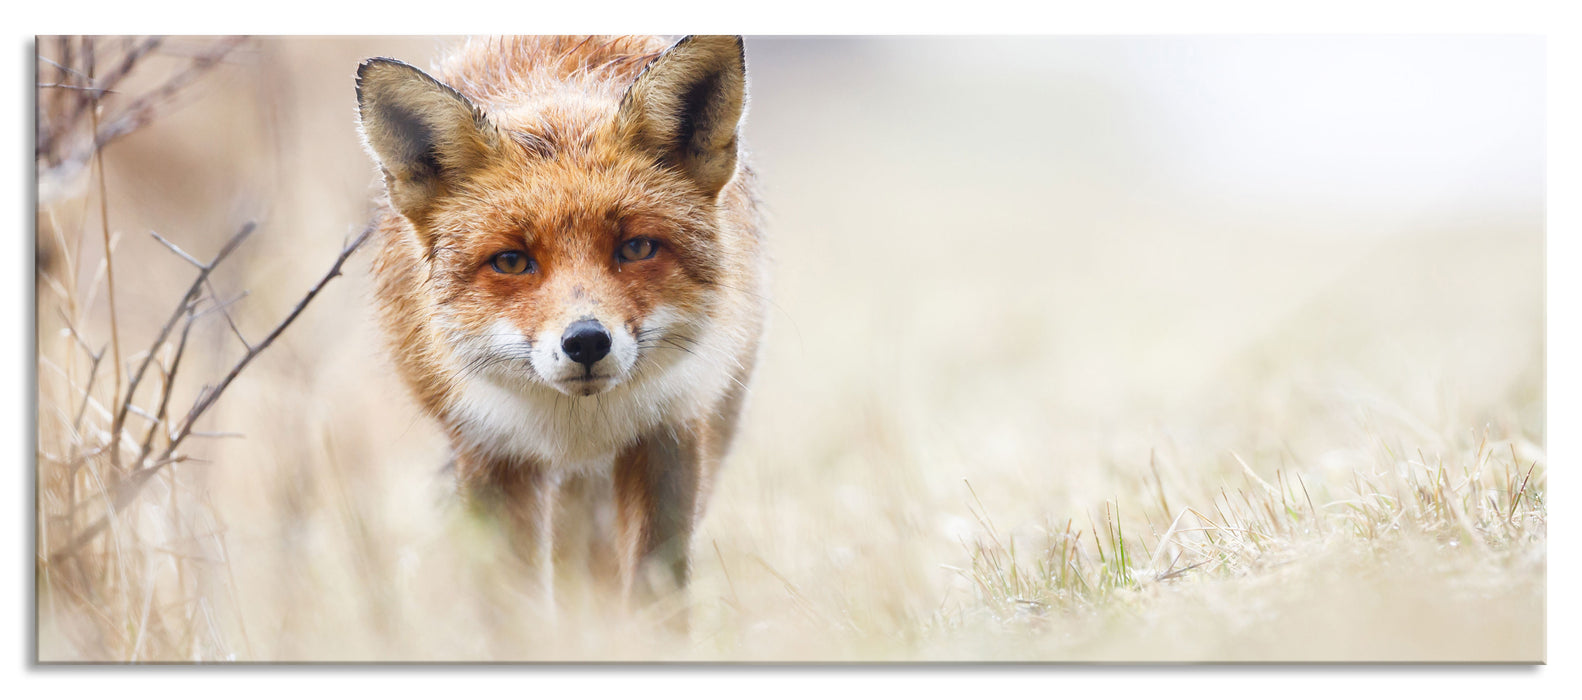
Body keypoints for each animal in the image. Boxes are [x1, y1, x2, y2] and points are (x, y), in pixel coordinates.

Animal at [354, 35, 766, 620]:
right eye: (510, 261)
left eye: (636, 247)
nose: (586, 341)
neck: (578, 427)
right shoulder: (489, 453)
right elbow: (513, 606)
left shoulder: (669, 433)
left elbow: (655, 593)